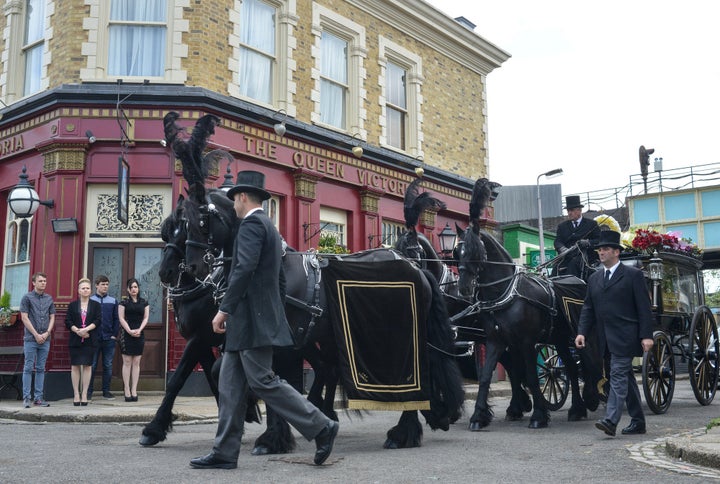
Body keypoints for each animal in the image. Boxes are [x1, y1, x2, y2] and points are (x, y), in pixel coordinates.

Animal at [456, 178, 600, 428]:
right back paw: (577, 409)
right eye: (457, 252)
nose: (464, 288)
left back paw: (591, 398)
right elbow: (485, 377)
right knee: (571, 369)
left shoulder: (526, 341)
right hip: (559, 337)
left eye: (475, 250)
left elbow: (532, 377)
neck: (505, 294)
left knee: (589, 363)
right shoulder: (496, 340)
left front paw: (539, 415)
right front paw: (478, 416)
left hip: (579, 335)